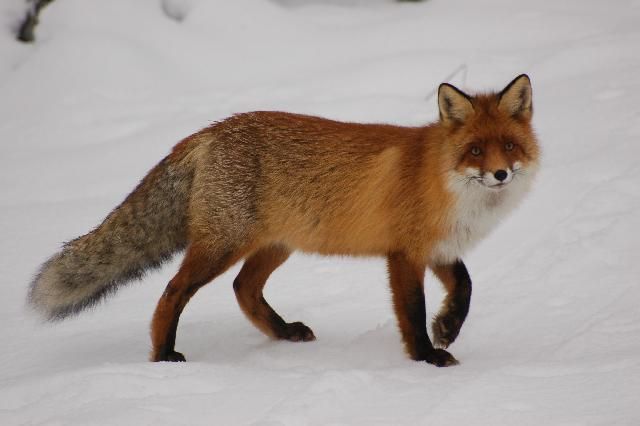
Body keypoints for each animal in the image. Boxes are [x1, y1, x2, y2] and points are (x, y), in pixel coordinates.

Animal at [30, 74, 540, 366]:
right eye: (475, 150)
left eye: (508, 146)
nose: (499, 174)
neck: (445, 182)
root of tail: (207, 132)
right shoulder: (403, 255)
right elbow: (412, 311)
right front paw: (425, 357)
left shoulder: (438, 247)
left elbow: (465, 287)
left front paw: (447, 328)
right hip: (222, 246)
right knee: (173, 292)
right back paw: (161, 354)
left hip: (276, 246)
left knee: (244, 288)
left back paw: (284, 332)